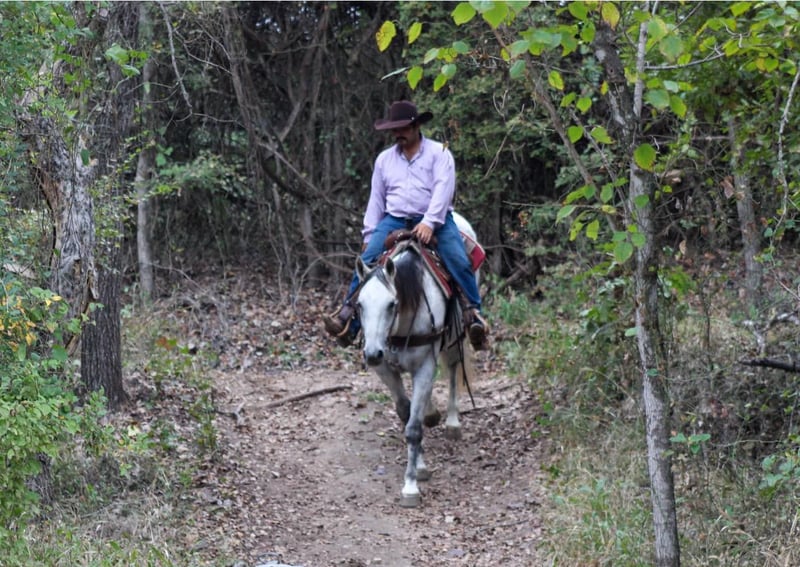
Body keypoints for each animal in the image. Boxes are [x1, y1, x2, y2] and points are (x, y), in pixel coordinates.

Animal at [354, 214, 478, 508]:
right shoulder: (385, 368)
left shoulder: (424, 366)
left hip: (455, 339)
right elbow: (405, 411)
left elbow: (413, 427)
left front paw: (411, 485)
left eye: (391, 304)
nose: (371, 354)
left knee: (453, 370)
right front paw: (419, 465)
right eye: (360, 305)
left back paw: (452, 423)